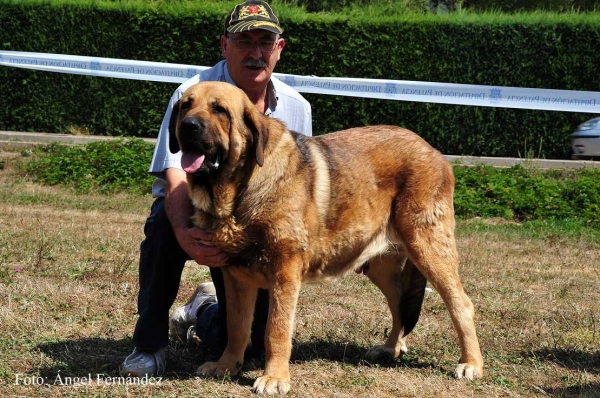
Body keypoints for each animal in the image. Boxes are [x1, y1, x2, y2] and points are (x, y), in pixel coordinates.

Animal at [168, 81, 482, 394]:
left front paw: (274, 378)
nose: (188, 126)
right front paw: (226, 365)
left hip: (428, 248)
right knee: (400, 306)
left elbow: (275, 329)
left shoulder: (284, 272)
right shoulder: (235, 277)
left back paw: (471, 364)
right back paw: (390, 349)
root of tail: (435, 153)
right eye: (185, 105)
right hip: (382, 267)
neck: (239, 191)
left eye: (219, 110)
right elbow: (235, 324)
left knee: (461, 304)